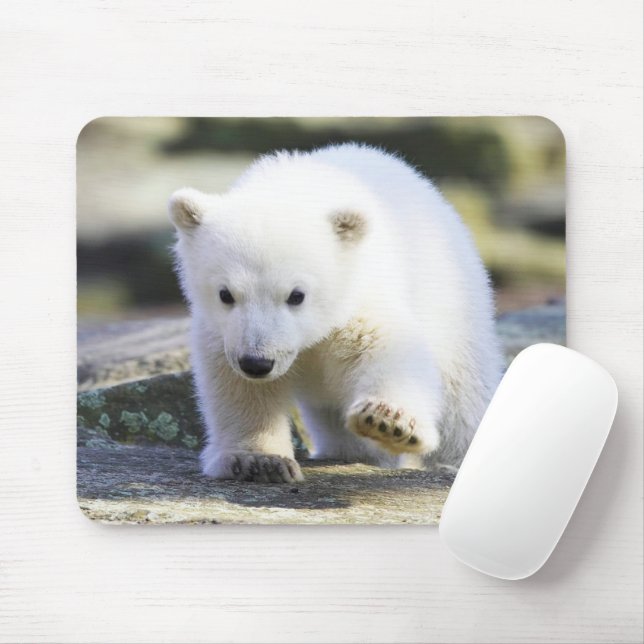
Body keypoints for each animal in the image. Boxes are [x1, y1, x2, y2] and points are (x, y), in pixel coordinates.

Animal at [169, 143, 503, 483]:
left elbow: (387, 346)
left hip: (453, 302)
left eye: (297, 295)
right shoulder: (223, 332)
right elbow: (239, 387)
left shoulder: (358, 293)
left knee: (463, 397)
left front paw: (388, 421)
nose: (257, 363)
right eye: (225, 294)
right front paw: (259, 461)